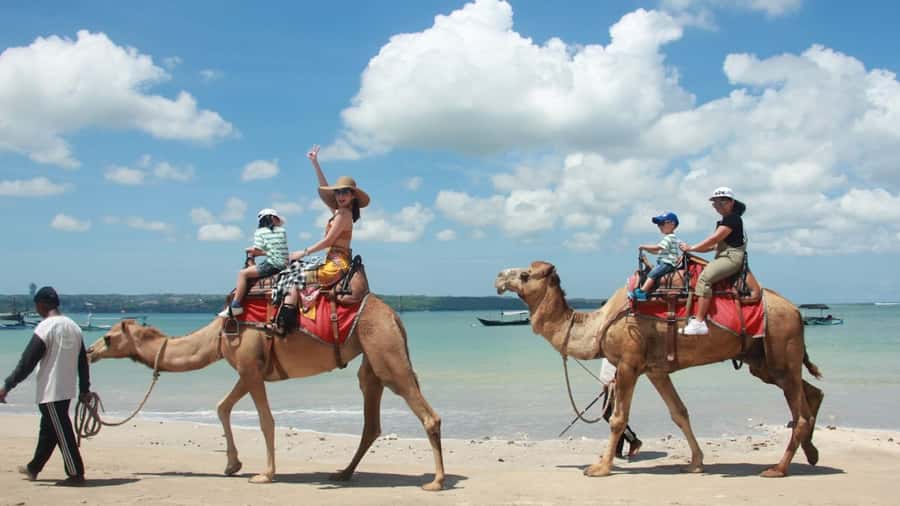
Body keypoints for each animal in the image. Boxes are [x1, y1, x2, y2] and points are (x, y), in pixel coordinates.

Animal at [85, 295, 445, 490]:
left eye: (108, 338)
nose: (88, 351)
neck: (216, 337)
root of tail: (395, 315)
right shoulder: (248, 372)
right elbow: (222, 406)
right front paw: (232, 465)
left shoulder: (250, 369)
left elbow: (266, 421)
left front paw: (265, 474)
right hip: (372, 360)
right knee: (371, 420)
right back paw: (342, 472)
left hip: (385, 349)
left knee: (427, 413)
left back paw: (436, 481)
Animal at [495, 261, 824, 478]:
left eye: (524, 274)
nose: (498, 277)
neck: (600, 324)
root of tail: (797, 311)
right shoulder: (655, 370)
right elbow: (679, 412)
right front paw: (695, 462)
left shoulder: (628, 363)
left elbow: (618, 419)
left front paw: (600, 467)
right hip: (763, 361)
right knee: (811, 392)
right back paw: (811, 453)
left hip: (780, 348)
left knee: (800, 412)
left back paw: (778, 468)